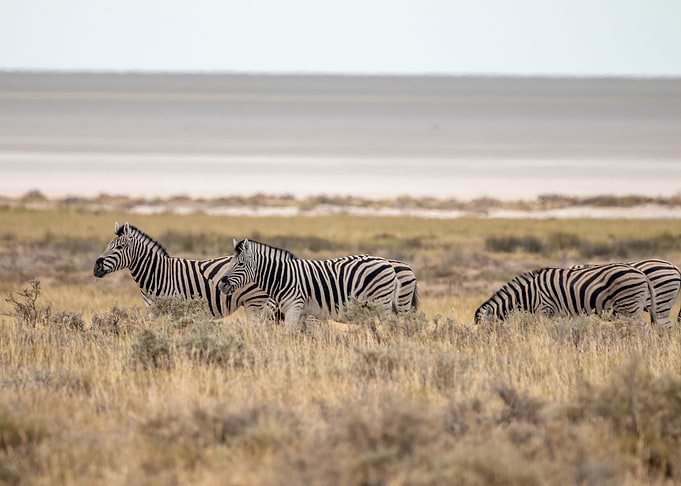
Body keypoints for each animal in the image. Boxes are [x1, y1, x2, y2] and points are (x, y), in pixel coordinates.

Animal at [93, 222, 272, 318]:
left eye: (119, 247)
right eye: (108, 245)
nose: (96, 268)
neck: (157, 273)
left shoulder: (175, 309)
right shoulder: (152, 311)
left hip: (255, 303)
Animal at [215, 239, 402, 326]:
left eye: (240, 264)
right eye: (230, 262)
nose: (221, 285)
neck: (281, 277)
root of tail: (387, 263)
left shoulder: (294, 307)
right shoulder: (301, 312)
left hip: (382, 303)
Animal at [474, 264, 658, 325]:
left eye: (483, 328)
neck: (528, 294)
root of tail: (642, 274)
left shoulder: (545, 309)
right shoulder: (560, 314)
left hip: (629, 306)